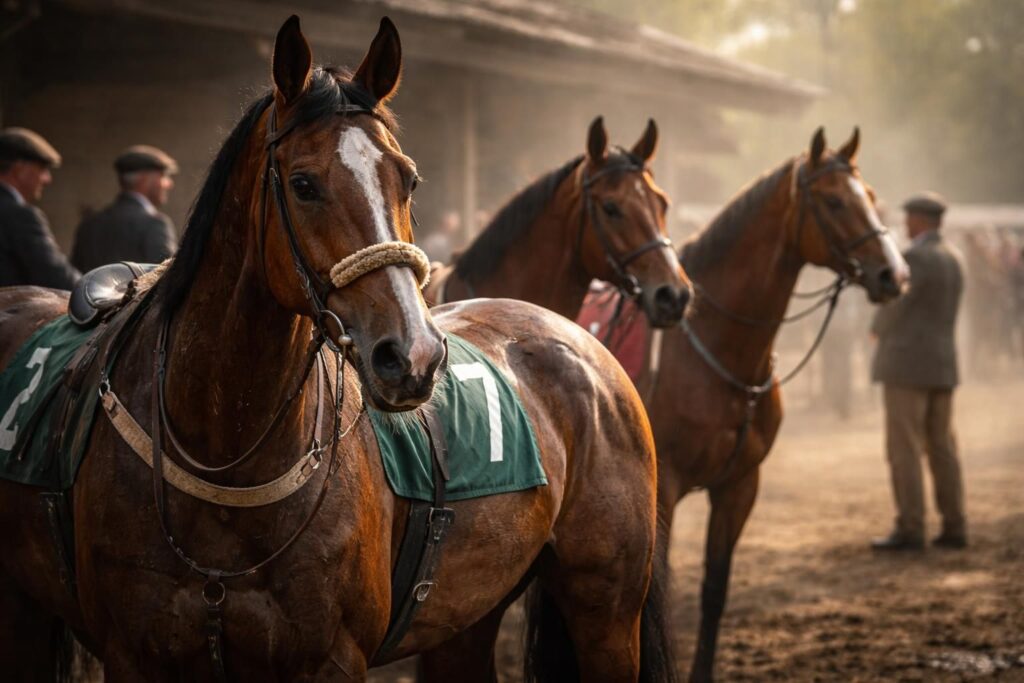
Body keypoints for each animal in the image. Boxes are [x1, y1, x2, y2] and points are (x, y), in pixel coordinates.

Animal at [635, 129, 910, 682]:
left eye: (869, 197)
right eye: (834, 201)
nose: (893, 273)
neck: (717, 352)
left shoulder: (740, 485)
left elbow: (714, 591)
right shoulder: (665, 487)